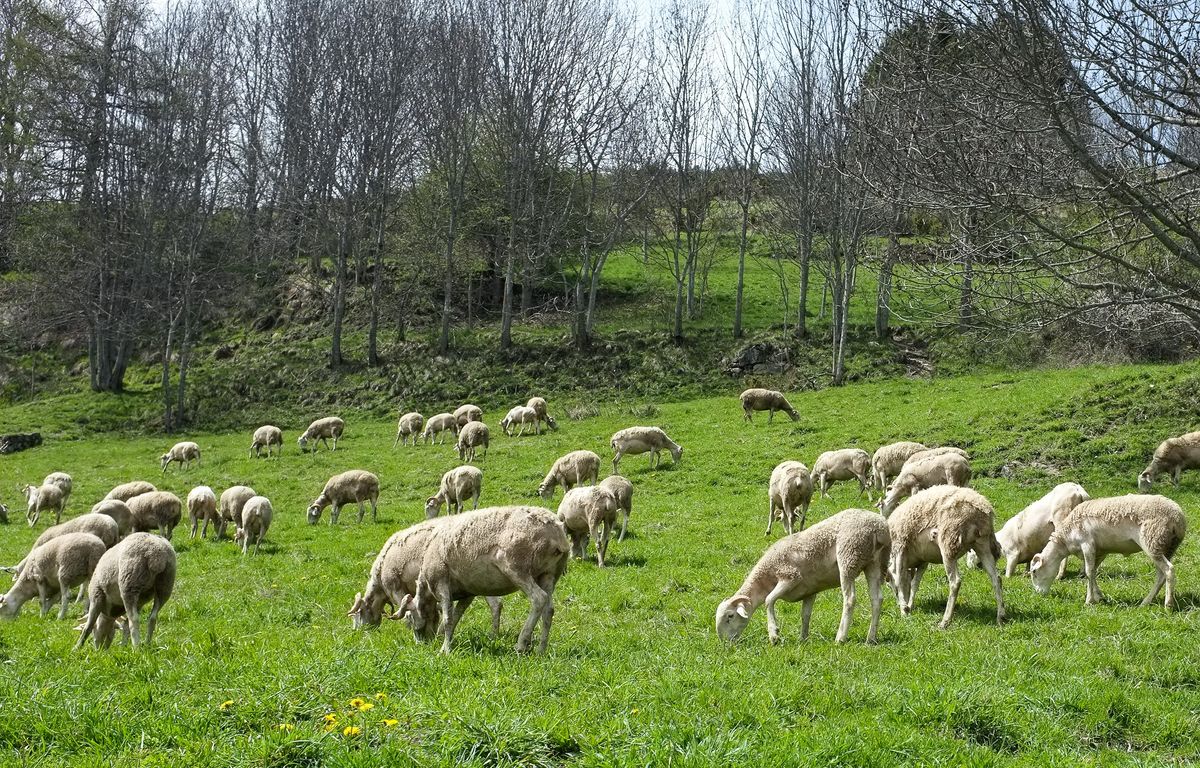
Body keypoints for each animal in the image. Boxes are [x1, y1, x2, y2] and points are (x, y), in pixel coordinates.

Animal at [349, 519, 501, 632]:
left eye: (359, 613)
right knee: (496, 605)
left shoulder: (395, 588)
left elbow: (406, 613)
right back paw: (493, 636)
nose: (357, 632)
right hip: (482, 580)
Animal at [397, 505, 570, 654]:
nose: (421, 644)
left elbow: (447, 619)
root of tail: (555, 533)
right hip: (549, 574)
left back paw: (521, 644)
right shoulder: (467, 593)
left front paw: (444, 650)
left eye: (410, 618)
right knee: (549, 609)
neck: (426, 585)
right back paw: (541, 650)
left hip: (517, 567)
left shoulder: (441, 583)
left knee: (539, 598)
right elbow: (456, 616)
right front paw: (444, 640)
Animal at [716, 508, 889, 645]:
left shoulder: (790, 576)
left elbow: (769, 600)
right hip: (874, 563)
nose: (725, 643)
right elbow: (805, 614)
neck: (766, 579)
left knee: (850, 599)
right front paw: (803, 638)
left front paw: (774, 634)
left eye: (730, 616)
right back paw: (871, 638)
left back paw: (840, 638)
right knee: (876, 599)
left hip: (849, 556)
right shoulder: (810, 591)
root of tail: (879, 528)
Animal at [887, 485, 1005, 629]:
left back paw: (945, 621)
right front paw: (909, 605)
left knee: (955, 582)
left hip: (949, 542)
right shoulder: (923, 560)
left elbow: (899, 580)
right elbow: (915, 583)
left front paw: (904, 610)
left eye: (889, 584)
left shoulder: (900, 547)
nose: (898, 602)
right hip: (983, 545)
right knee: (996, 578)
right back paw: (1000, 616)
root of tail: (981, 508)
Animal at [1029, 494, 1187, 608]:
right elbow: (1093, 573)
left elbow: (1088, 572)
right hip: (1167, 546)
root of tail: (1178, 518)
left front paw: (1089, 601)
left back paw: (1168, 605)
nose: (1039, 594)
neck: (1065, 538)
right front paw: (1099, 597)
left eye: (1034, 572)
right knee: (1161, 575)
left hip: (1152, 540)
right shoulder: (1101, 550)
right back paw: (1146, 602)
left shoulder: (1087, 544)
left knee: (1169, 570)